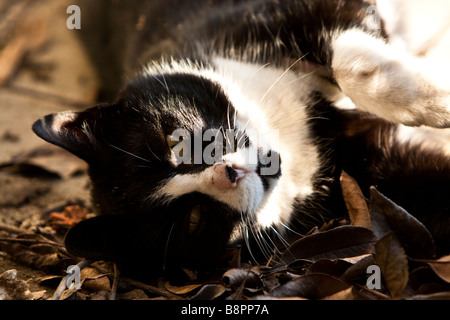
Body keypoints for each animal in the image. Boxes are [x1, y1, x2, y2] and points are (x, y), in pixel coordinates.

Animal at [31, 0, 450, 278]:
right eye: (194, 219)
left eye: (174, 142)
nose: (229, 174)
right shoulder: (367, 168)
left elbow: (350, 61)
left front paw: (437, 99)